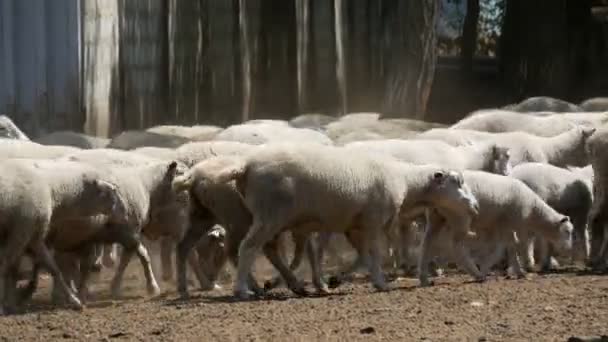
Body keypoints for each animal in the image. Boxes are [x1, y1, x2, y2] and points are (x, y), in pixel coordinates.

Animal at [0, 158, 127, 312]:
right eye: (112, 191)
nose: (126, 211)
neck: (52, 188)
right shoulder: (20, 232)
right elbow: (6, 266)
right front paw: (5, 304)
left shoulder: (34, 236)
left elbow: (53, 268)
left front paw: (74, 300)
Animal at [175, 143, 480, 298]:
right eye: (457, 182)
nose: (475, 205)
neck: (404, 180)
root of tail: (245, 167)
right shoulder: (373, 221)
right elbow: (375, 254)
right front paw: (381, 283)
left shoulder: (354, 226)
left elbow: (362, 256)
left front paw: (337, 280)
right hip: (265, 215)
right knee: (246, 248)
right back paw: (244, 290)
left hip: (208, 215)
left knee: (185, 247)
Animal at [418, 170, 576, 286]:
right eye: (567, 231)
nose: (569, 249)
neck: (533, 210)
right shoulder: (511, 224)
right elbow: (510, 247)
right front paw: (486, 269)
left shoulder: (500, 226)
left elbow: (508, 247)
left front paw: (518, 271)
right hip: (460, 216)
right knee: (456, 246)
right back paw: (476, 274)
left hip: (435, 217)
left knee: (426, 243)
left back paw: (424, 278)